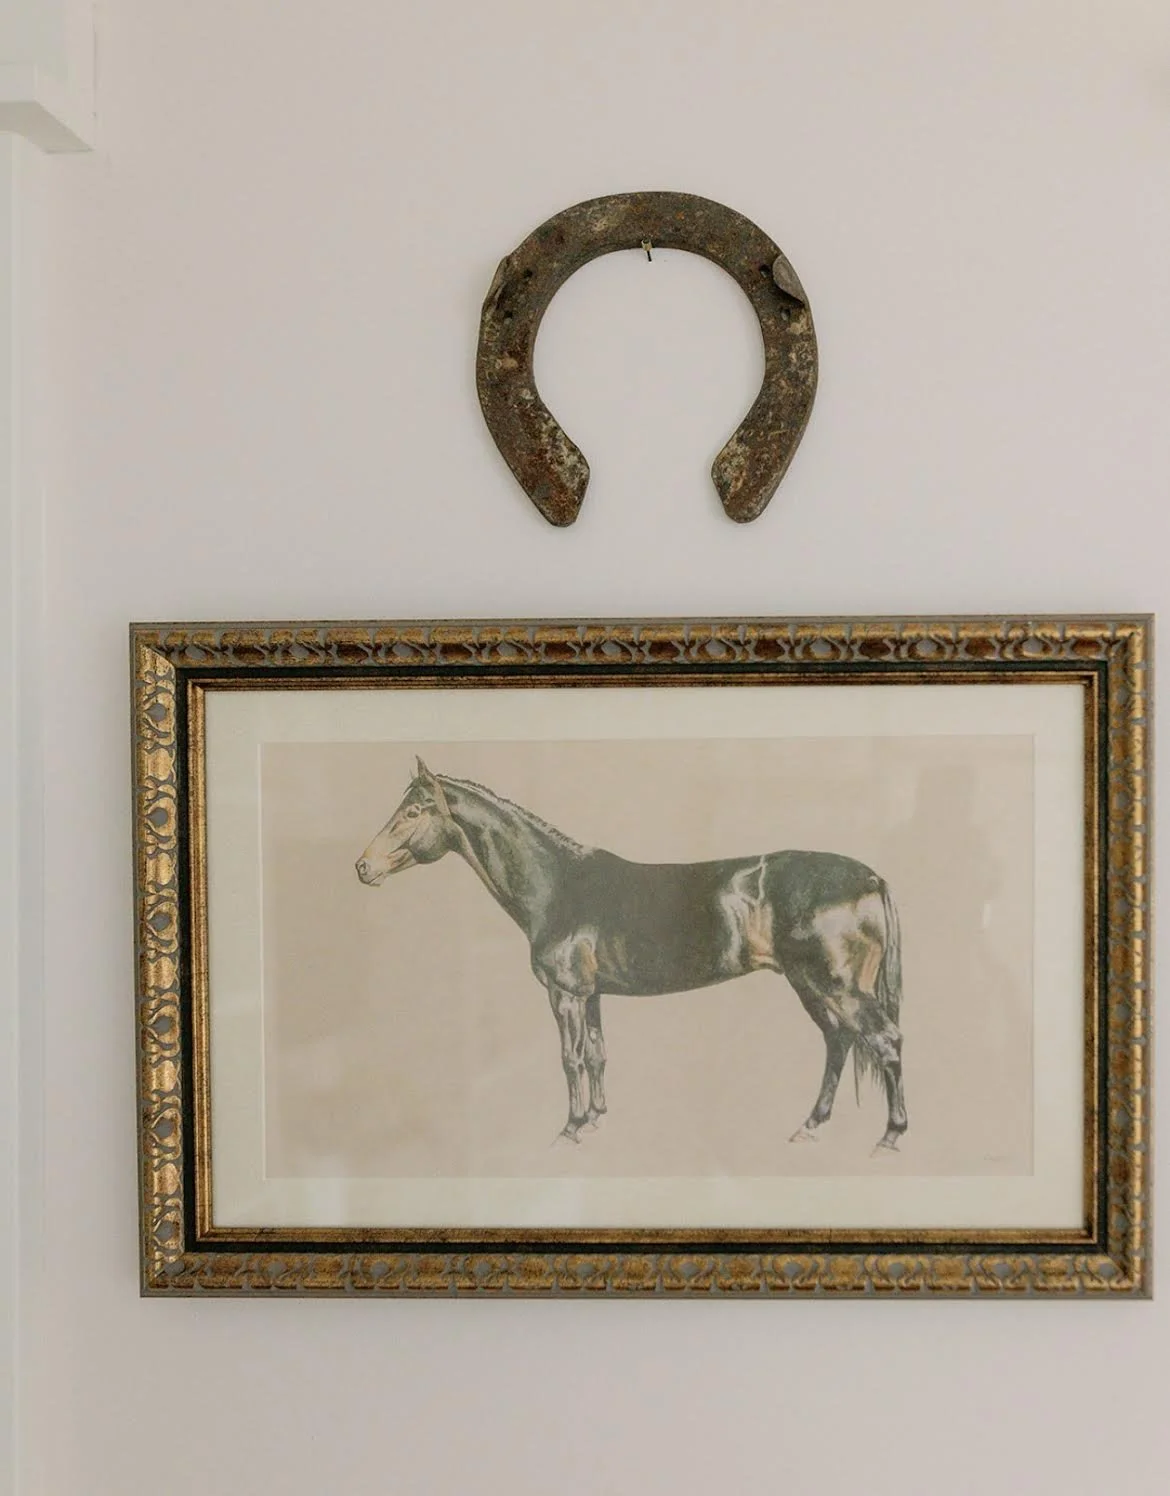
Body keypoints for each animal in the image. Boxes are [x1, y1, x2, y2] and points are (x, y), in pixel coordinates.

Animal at [355, 759, 907, 1153]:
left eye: (412, 812)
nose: (363, 866)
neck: (557, 885)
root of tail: (871, 877)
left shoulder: (565, 994)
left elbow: (571, 1059)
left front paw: (571, 1127)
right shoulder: (592, 993)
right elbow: (598, 1054)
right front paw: (597, 1119)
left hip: (836, 985)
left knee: (885, 1041)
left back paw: (891, 1136)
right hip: (811, 985)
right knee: (839, 1042)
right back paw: (811, 1126)